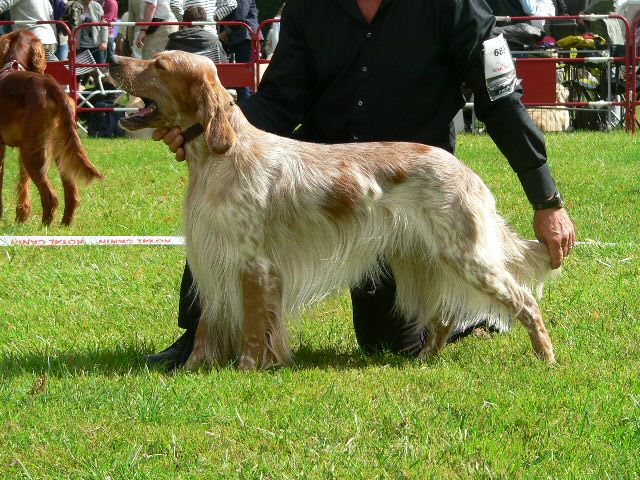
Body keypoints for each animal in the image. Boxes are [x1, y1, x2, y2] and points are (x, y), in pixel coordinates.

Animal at [0, 30, 102, 225]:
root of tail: (53, 87)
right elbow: (23, 182)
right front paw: (22, 214)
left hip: (32, 153)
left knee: (51, 196)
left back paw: (44, 226)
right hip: (58, 149)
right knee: (71, 193)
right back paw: (64, 224)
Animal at [111, 50, 560, 370]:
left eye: (159, 63)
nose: (114, 60)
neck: (222, 156)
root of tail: (470, 174)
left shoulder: (255, 265)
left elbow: (255, 329)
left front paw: (247, 369)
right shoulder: (213, 258)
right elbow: (206, 325)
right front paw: (193, 368)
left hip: (466, 257)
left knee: (524, 301)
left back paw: (547, 357)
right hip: (424, 258)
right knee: (445, 315)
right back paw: (423, 358)